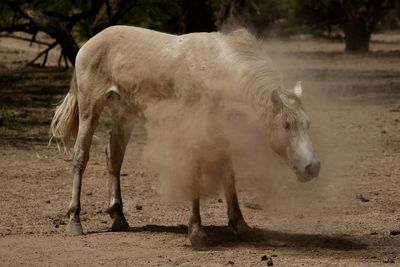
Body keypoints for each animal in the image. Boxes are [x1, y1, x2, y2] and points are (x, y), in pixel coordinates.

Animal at [50, 26, 320, 248]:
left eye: (307, 123)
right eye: (286, 125)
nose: (312, 167)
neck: (215, 70)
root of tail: (89, 43)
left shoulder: (219, 129)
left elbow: (228, 173)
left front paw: (240, 225)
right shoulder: (195, 130)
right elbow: (194, 173)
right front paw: (197, 232)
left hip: (123, 114)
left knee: (114, 158)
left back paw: (119, 218)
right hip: (90, 108)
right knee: (81, 157)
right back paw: (74, 221)